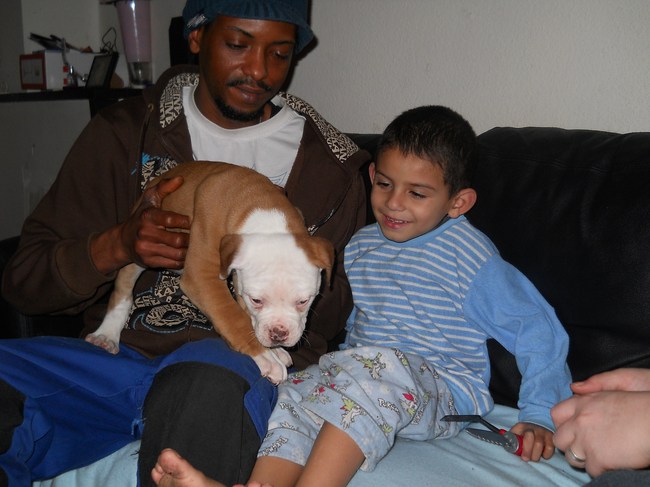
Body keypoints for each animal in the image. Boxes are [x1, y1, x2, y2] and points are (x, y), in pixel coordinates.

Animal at [86, 161, 334, 384]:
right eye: (257, 300)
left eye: (303, 302)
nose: (278, 334)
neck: (263, 210)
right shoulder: (202, 277)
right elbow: (233, 316)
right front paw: (265, 356)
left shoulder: (237, 276)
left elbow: (245, 316)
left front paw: (273, 350)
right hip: (138, 251)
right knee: (123, 289)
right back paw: (106, 335)